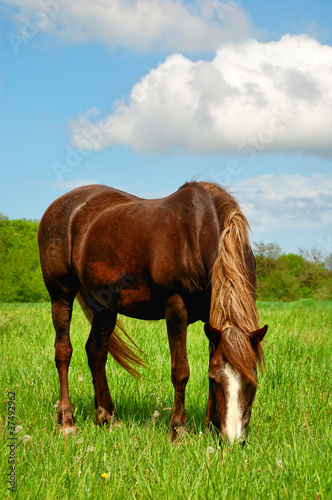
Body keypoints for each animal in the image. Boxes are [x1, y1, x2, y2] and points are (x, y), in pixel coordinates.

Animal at [38, 182, 268, 444]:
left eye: (252, 380)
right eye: (217, 379)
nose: (233, 440)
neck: (199, 232)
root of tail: (58, 205)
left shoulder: (213, 321)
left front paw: (211, 426)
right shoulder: (176, 307)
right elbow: (181, 371)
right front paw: (178, 430)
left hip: (105, 305)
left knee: (96, 351)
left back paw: (107, 417)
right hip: (61, 294)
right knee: (63, 351)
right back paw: (67, 422)